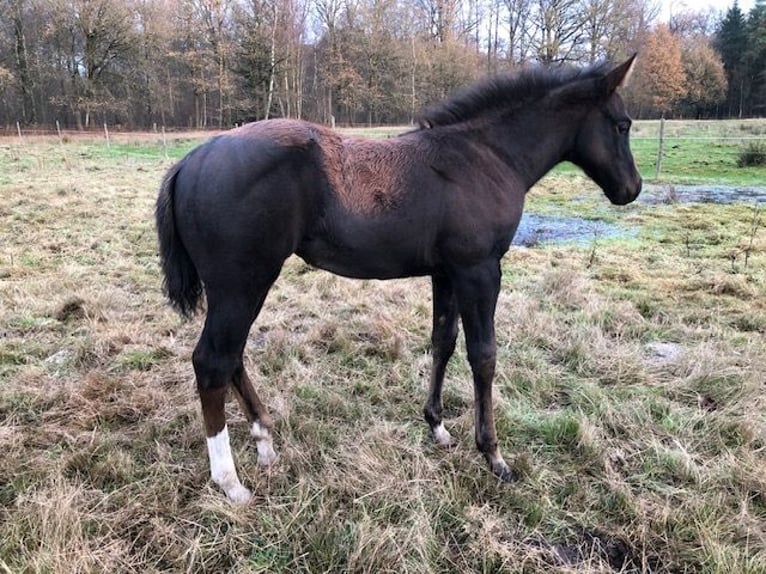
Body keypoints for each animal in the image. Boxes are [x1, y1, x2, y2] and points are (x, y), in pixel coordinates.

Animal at [156, 55, 642, 503]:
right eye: (622, 125)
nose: (632, 188)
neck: (485, 156)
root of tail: (192, 160)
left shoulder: (447, 274)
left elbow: (443, 342)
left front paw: (438, 427)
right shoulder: (480, 270)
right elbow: (483, 356)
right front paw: (493, 455)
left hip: (238, 289)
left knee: (232, 357)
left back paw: (265, 443)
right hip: (242, 284)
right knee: (213, 361)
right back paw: (230, 482)